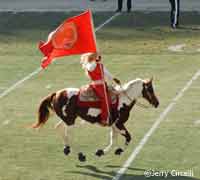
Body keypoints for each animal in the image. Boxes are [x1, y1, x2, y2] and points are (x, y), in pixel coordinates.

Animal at [31, 77, 159, 162]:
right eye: (150, 89)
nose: (157, 103)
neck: (123, 100)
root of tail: (56, 93)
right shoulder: (119, 124)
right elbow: (128, 137)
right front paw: (118, 151)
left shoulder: (114, 125)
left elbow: (113, 140)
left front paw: (100, 152)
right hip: (70, 121)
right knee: (68, 134)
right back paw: (80, 155)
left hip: (67, 118)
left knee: (59, 128)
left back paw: (67, 149)